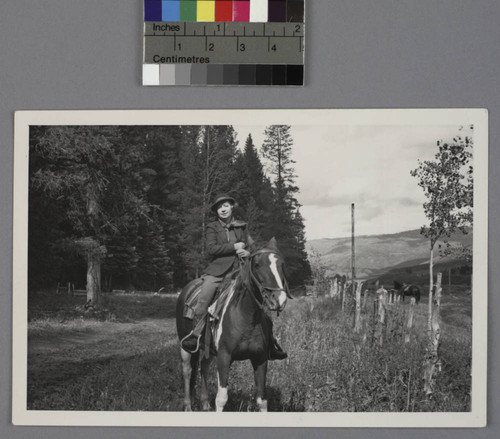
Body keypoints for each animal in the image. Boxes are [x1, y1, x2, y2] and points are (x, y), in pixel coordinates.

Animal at [175, 239, 290, 410]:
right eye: (257, 265)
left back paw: (205, 404)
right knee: (187, 370)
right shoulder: (224, 357)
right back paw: (188, 406)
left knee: (204, 366)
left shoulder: (261, 359)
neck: (246, 317)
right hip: (186, 346)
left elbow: (262, 400)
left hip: (209, 348)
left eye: (282, 264)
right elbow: (221, 399)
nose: (278, 300)